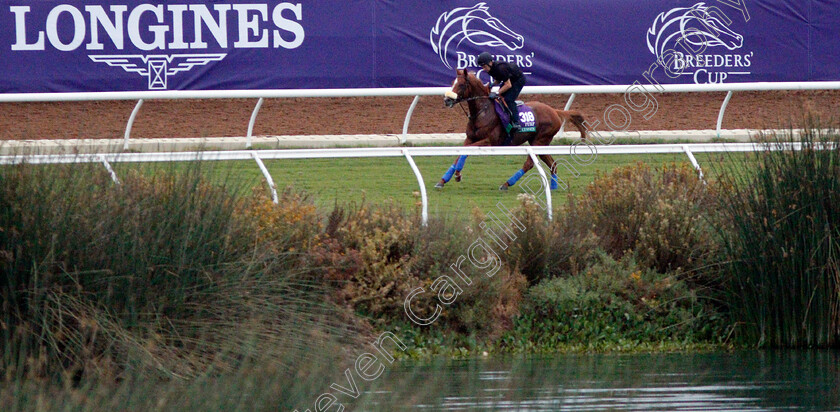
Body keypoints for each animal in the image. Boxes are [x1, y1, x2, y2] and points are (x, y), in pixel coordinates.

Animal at [436, 69, 588, 190]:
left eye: (461, 84)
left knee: (529, 163)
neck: (483, 112)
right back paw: (553, 187)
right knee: (552, 163)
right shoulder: (470, 138)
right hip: (540, 143)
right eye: (453, 82)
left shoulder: (491, 142)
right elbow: (459, 154)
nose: (447, 100)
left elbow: (466, 152)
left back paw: (507, 184)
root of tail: (555, 111)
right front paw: (444, 180)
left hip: (540, 139)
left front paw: (458, 174)